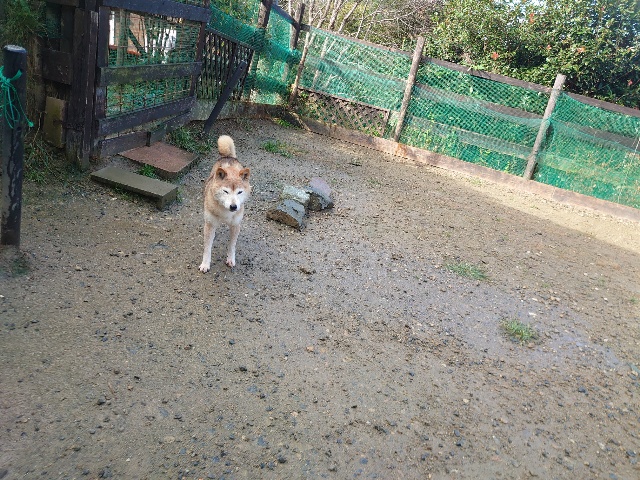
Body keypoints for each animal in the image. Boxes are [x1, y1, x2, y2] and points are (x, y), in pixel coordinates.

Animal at [198, 135, 251, 272]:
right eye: (226, 191)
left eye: (239, 192)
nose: (233, 206)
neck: (225, 213)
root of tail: (228, 157)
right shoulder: (210, 224)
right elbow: (207, 248)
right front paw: (205, 264)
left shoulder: (235, 225)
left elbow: (232, 245)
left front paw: (231, 259)